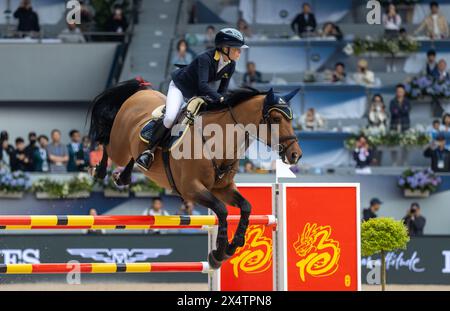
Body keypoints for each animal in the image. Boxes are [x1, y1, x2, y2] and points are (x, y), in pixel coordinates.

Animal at [88, 78, 302, 270]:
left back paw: (124, 176)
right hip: (119, 146)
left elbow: (246, 206)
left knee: (132, 157)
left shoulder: (223, 188)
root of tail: (139, 93)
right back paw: (99, 170)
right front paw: (219, 253)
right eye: (276, 119)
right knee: (106, 143)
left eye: (291, 119)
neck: (217, 141)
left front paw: (233, 245)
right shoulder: (191, 189)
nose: (295, 155)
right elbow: (221, 210)